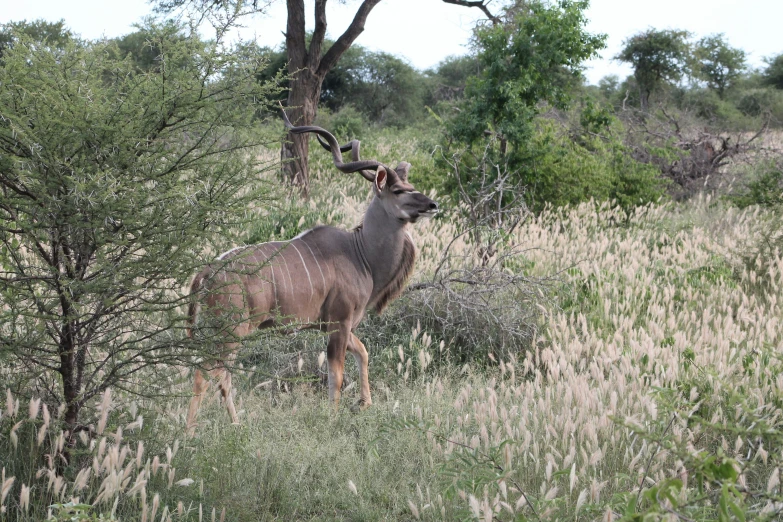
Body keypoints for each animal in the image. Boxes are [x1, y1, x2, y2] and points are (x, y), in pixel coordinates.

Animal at [187, 106, 438, 430]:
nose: (431, 205)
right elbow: (337, 376)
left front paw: (364, 403)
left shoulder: (338, 325)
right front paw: (332, 418)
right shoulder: (340, 323)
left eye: (411, 187)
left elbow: (363, 353)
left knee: (221, 375)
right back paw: (189, 432)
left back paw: (235, 424)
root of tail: (207, 272)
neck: (360, 252)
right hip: (231, 331)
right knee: (206, 373)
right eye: (397, 190)